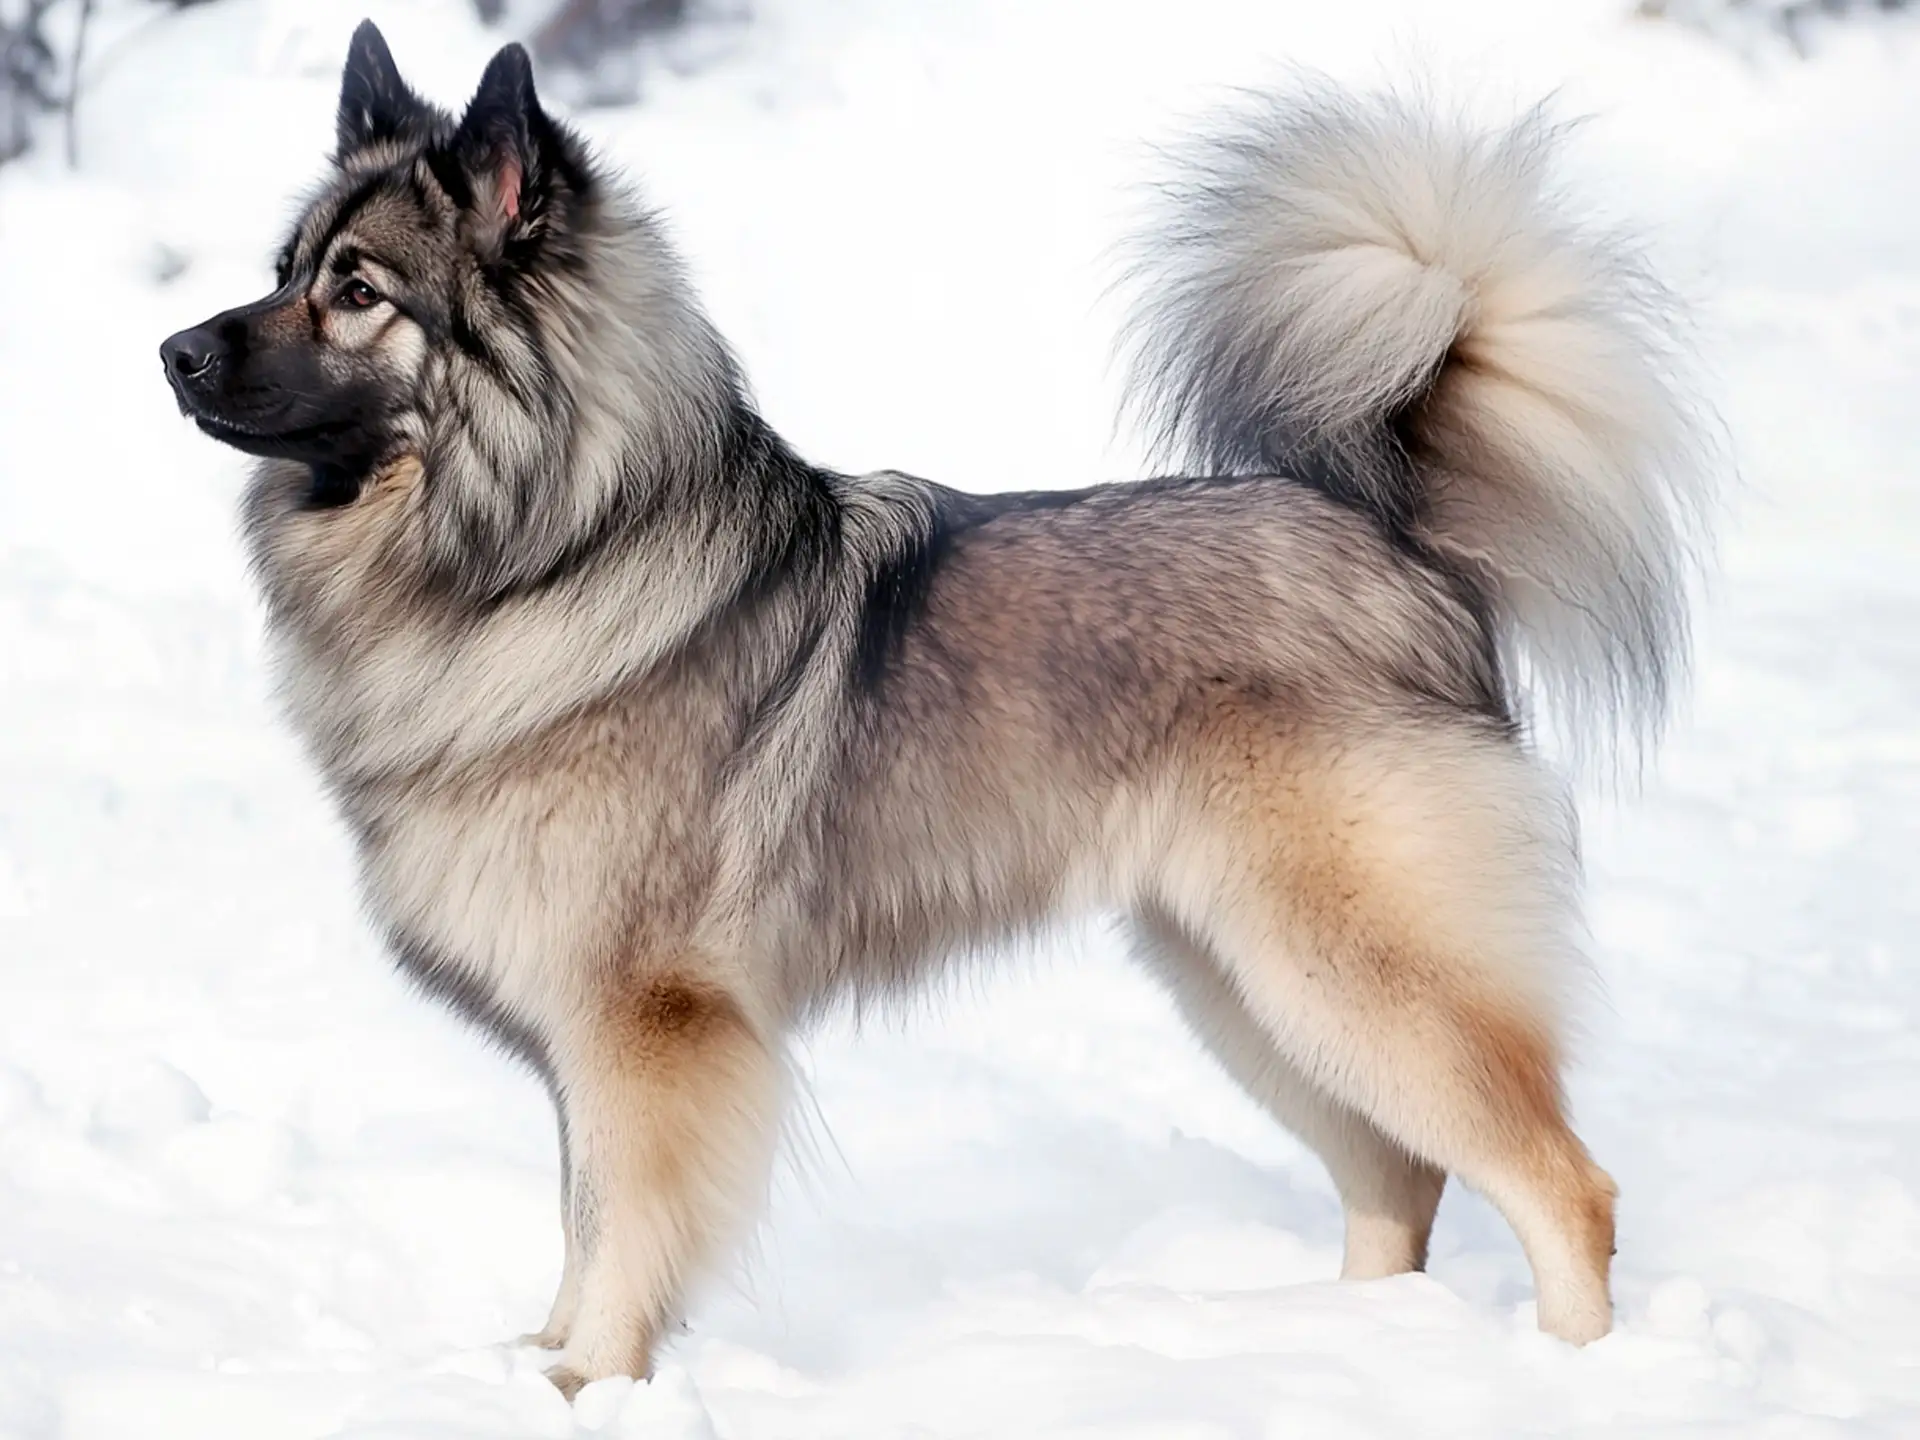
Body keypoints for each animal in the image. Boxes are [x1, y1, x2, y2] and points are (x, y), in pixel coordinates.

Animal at [157, 22, 1704, 1397]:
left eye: (358, 290)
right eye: (283, 271)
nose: (174, 352)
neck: (542, 553)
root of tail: (1397, 544)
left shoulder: (646, 1026)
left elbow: (621, 1227)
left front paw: (590, 1382)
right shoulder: (585, 1044)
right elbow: (577, 1218)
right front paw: (537, 1365)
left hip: (1356, 965)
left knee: (1564, 1187)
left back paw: (1568, 1378)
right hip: (1241, 975)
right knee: (1398, 1179)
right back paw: (1344, 1354)